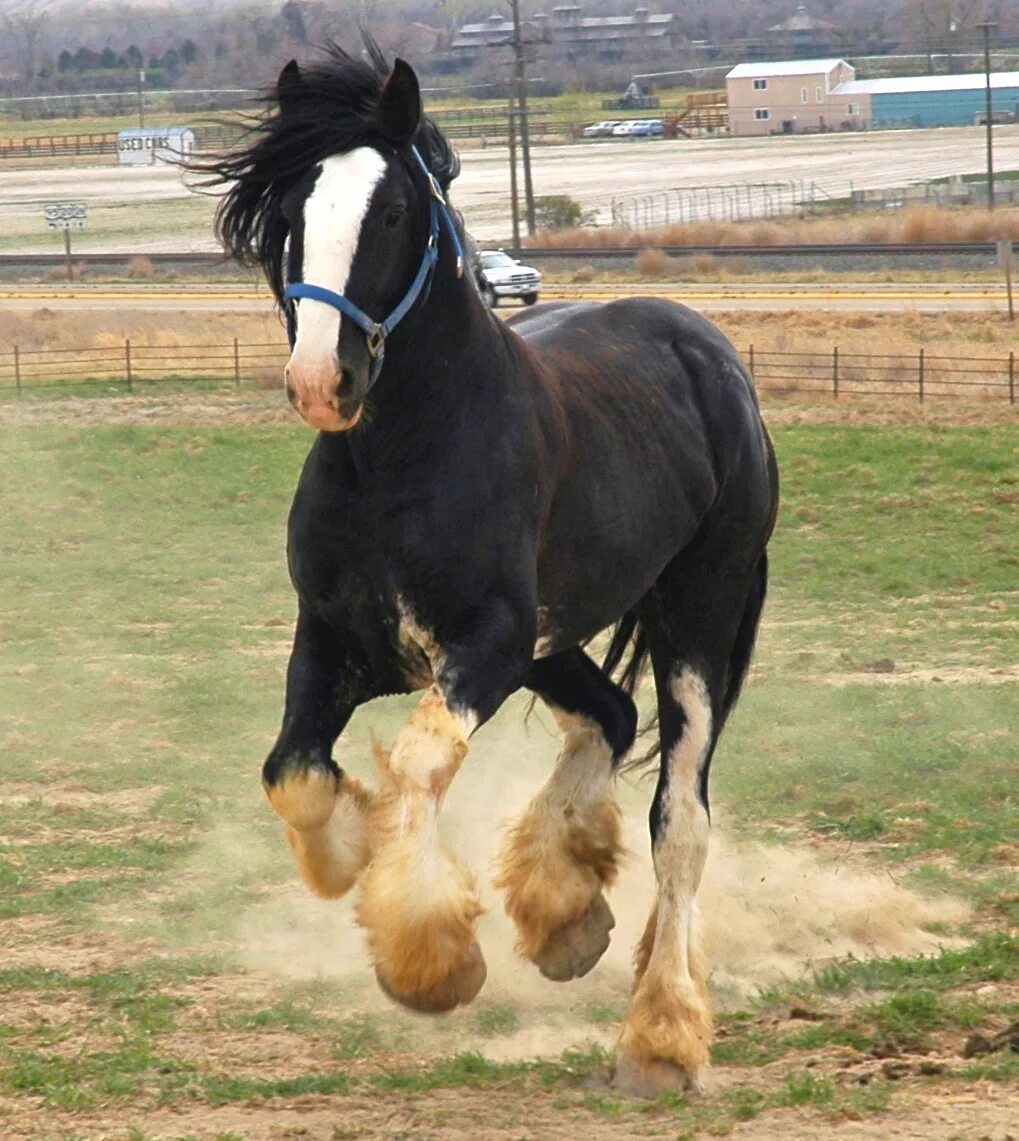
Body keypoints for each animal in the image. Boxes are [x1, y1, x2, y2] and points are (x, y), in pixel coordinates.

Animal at [206, 44, 780, 1095]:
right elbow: (296, 776)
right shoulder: (334, 641)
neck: (399, 461)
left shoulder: (483, 644)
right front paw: (357, 848)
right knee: (610, 717)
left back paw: (661, 1033)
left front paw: (428, 959)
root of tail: (705, 348)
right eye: (293, 210)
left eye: (393, 211)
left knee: (679, 816)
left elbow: (421, 760)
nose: (321, 381)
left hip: (696, 615)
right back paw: (566, 919)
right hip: (558, 637)